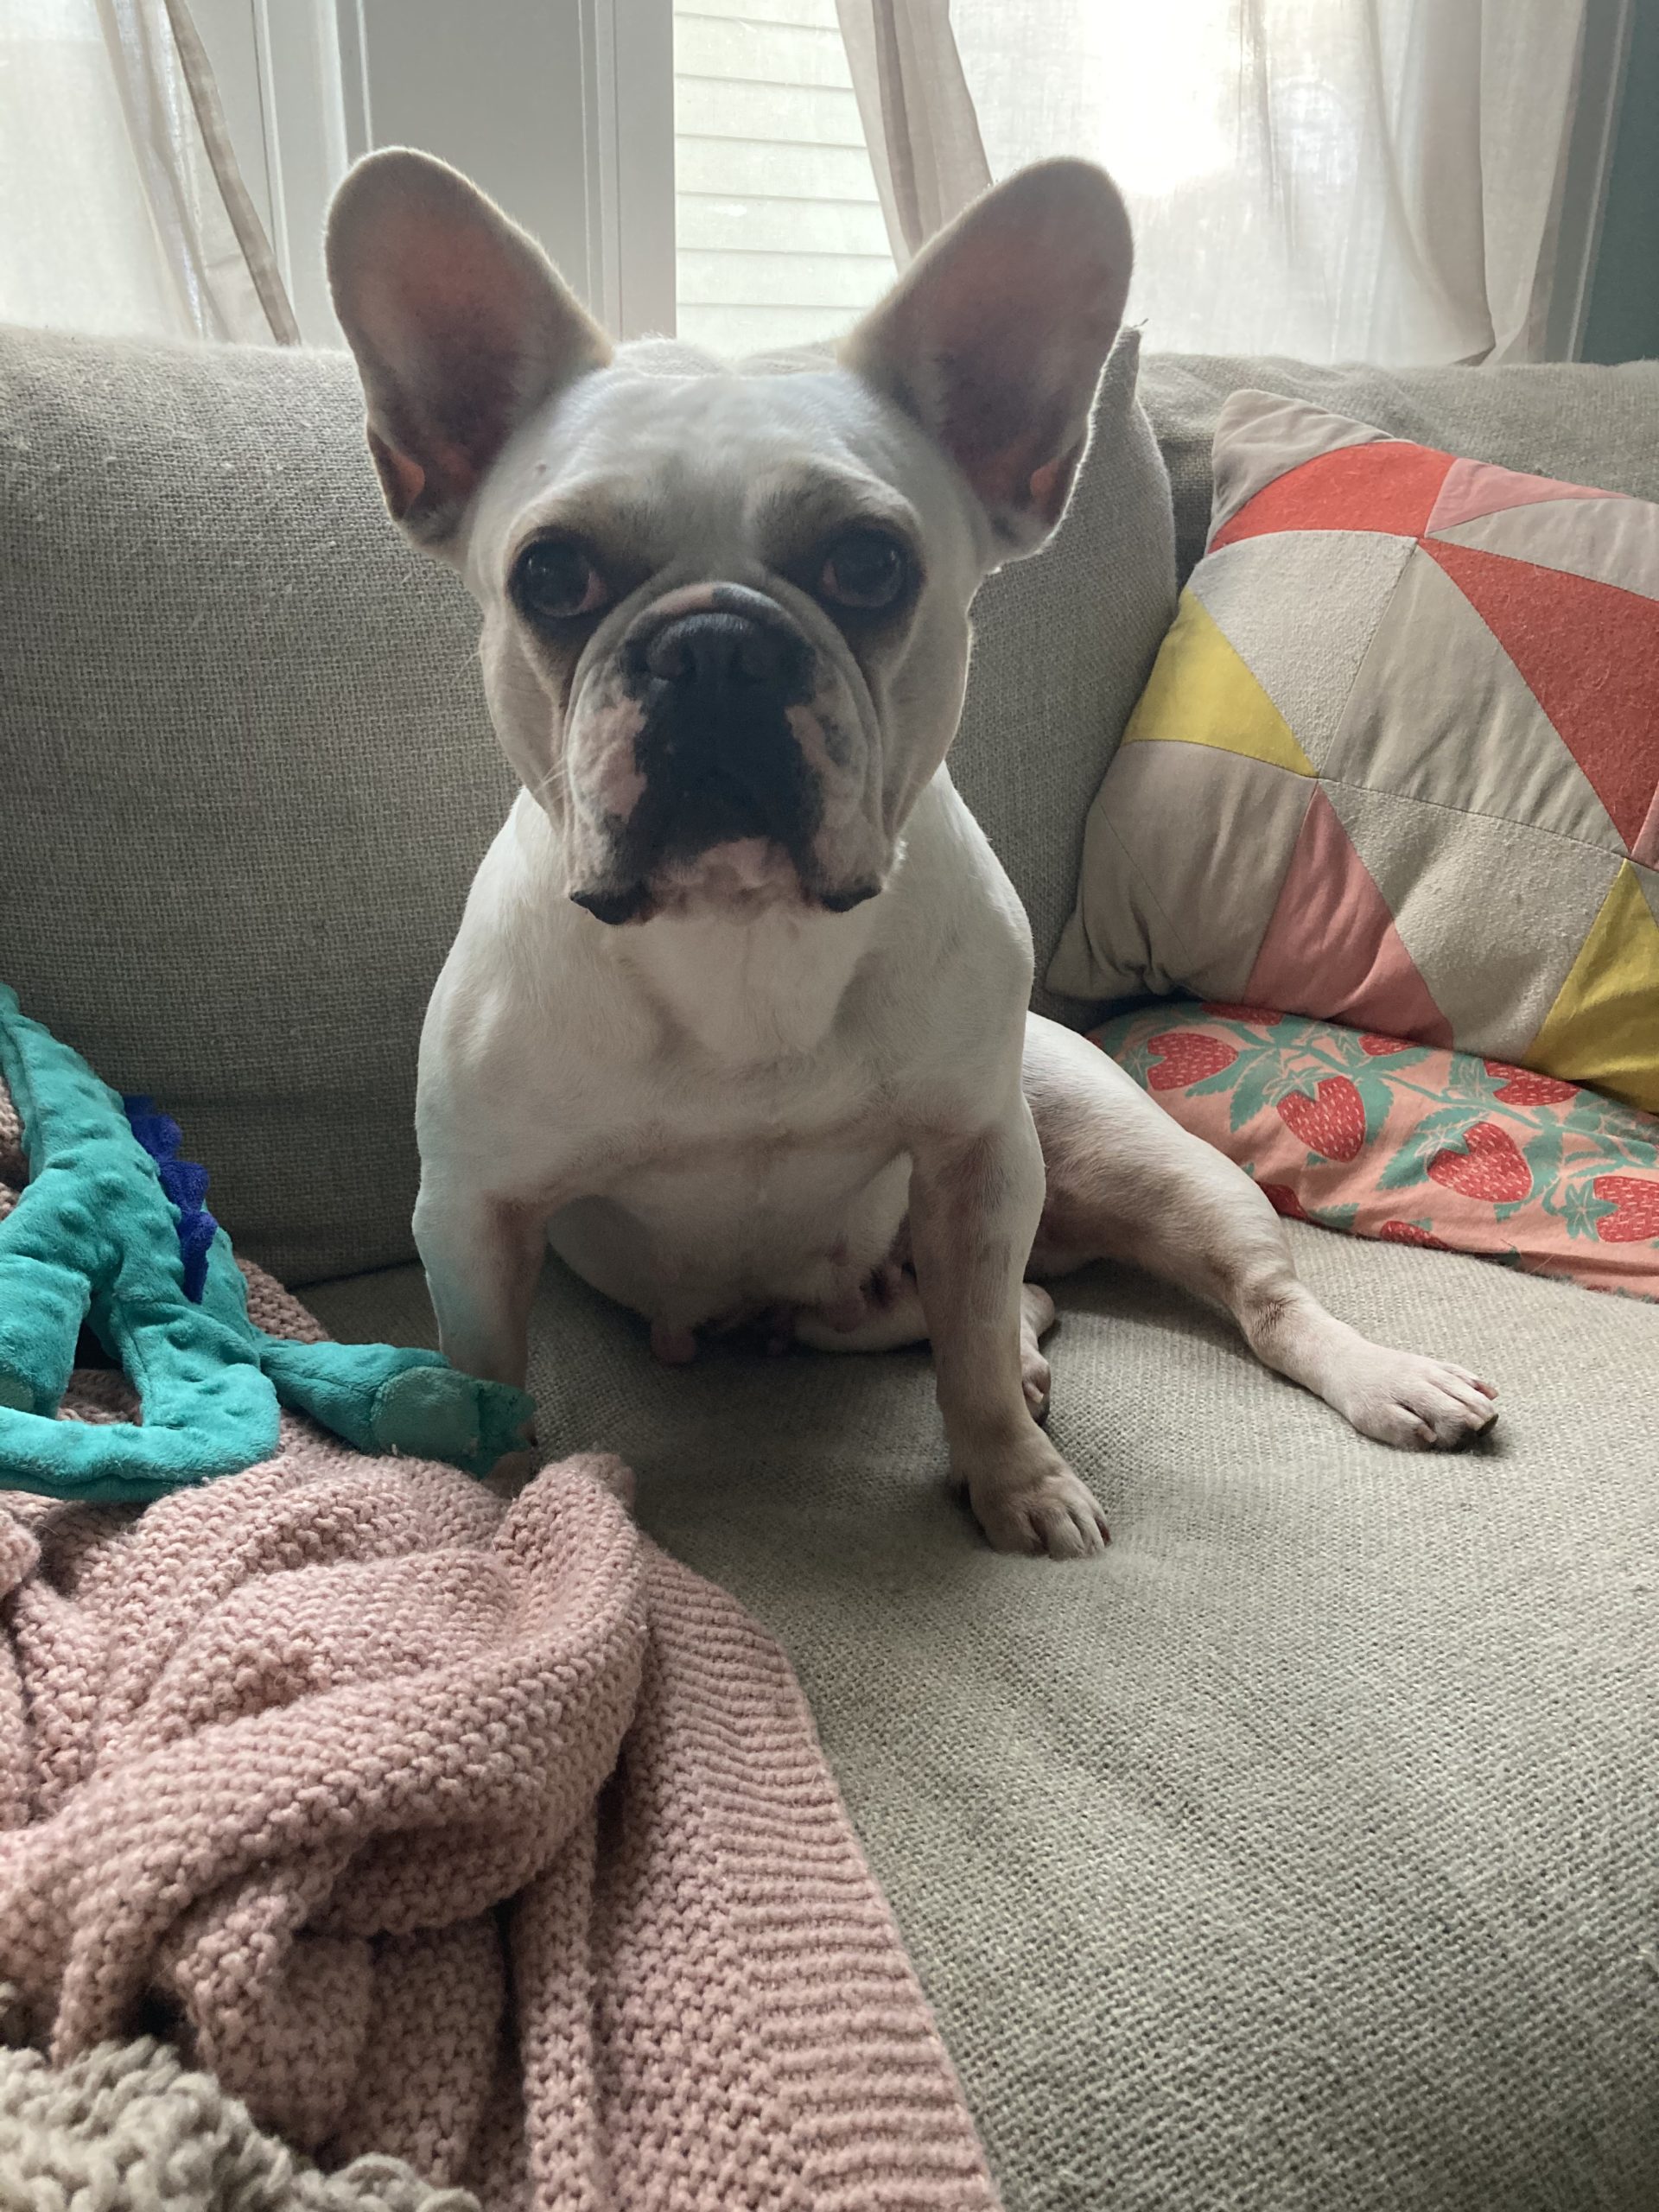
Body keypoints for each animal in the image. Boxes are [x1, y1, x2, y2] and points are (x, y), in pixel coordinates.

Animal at [324, 149, 1497, 1559]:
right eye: (550, 575)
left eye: (869, 563)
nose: (715, 646)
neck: (744, 938)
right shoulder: (476, 1214)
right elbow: (491, 1373)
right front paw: (495, 1509)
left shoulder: (980, 1167)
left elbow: (975, 1359)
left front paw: (1018, 1482)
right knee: (994, 1310)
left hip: (1140, 1163)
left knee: (1237, 1302)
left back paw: (1382, 1377)